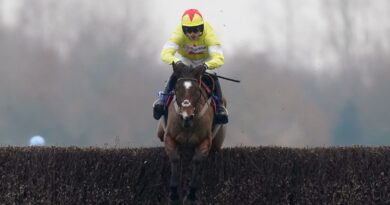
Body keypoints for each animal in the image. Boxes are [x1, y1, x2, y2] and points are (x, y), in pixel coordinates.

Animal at [157, 63, 227, 204]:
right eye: (177, 89)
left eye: (197, 91)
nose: (186, 116)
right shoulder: (169, 137)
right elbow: (175, 159)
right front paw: (174, 194)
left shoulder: (205, 141)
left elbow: (197, 161)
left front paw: (191, 195)